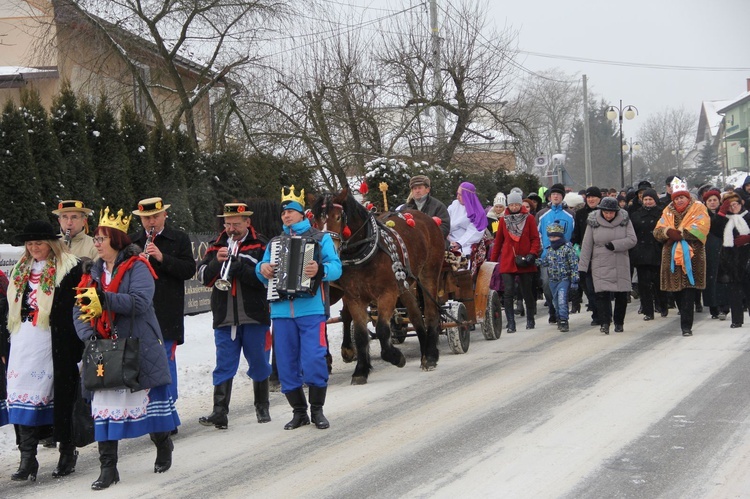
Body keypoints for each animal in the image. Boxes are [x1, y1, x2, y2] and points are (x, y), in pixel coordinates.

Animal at [312, 189, 446, 384]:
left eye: (337, 217)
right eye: (314, 220)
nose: (324, 249)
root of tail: (426, 218)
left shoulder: (387, 293)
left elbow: (382, 329)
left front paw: (395, 357)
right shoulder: (354, 298)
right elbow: (360, 335)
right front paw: (360, 370)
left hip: (429, 272)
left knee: (430, 313)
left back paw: (430, 356)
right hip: (404, 284)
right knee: (415, 315)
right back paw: (423, 351)